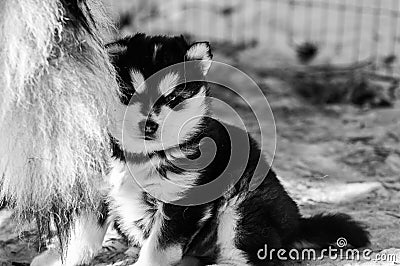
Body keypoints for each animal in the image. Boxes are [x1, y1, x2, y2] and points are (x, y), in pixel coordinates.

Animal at [105, 33, 368, 266]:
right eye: (129, 94)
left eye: (173, 98)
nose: (148, 125)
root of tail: (296, 225)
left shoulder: (183, 202)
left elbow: (160, 246)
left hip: (241, 208)